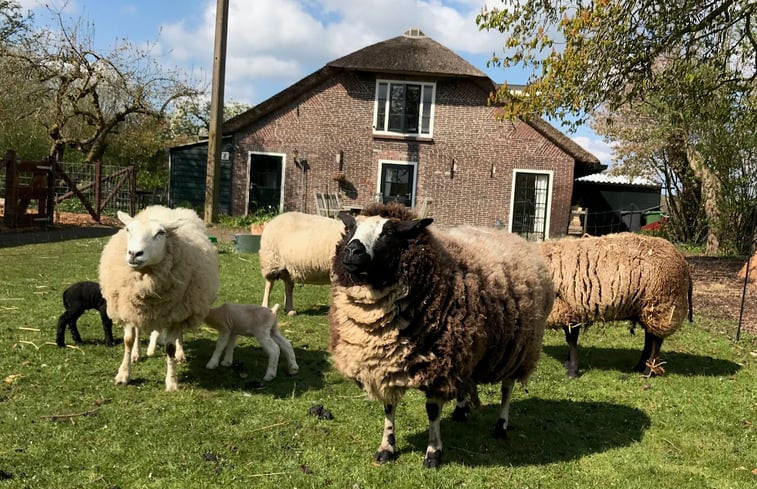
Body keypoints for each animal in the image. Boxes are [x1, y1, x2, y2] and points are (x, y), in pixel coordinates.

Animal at [98, 204, 219, 390]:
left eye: (160, 233)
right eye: (128, 229)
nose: (134, 253)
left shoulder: (178, 314)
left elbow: (170, 347)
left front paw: (172, 381)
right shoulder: (128, 308)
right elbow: (128, 340)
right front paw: (123, 374)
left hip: (183, 309)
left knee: (179, 335)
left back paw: (180, 354)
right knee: (138, 330)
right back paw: (137, 353)